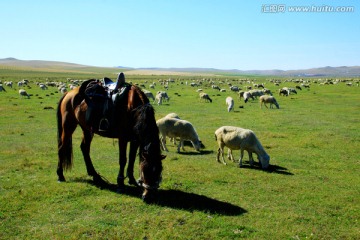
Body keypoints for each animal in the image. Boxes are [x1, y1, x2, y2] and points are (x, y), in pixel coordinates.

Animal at [55, 73, 165, 202]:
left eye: (159, 171)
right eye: (146, 171)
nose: (148, 197)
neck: (134, 109)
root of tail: (68, 93)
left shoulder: (135, 140)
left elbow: (132, 158)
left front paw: (132, 180)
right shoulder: (123, 138)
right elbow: (123, 159)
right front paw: (120, 184)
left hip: (87, 129)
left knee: (84, 148)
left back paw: (95, 176)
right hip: (68, 126)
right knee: (62, 148)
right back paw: (60, 175)